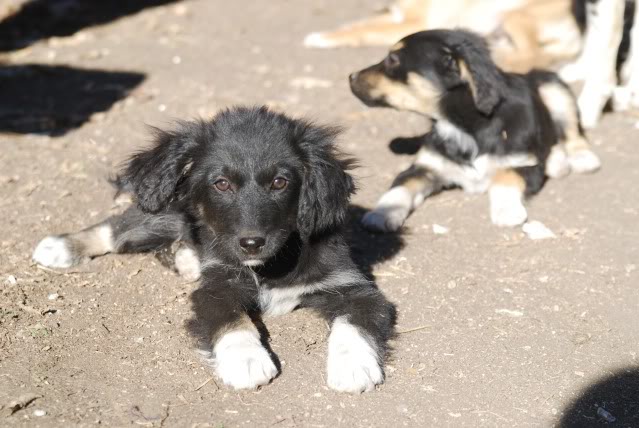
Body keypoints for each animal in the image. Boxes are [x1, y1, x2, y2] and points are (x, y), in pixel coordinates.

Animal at [33, 106, 400, 392]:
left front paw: (352, 368)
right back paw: (61, 245)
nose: (251, 243)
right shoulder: (218, 284)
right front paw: (247, 361)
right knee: (118, 228)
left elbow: (353, 325)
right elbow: (232, 320)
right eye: (221, 184)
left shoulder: (352, 286)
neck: (270, 264)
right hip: (163, 209)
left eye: (280, 182)